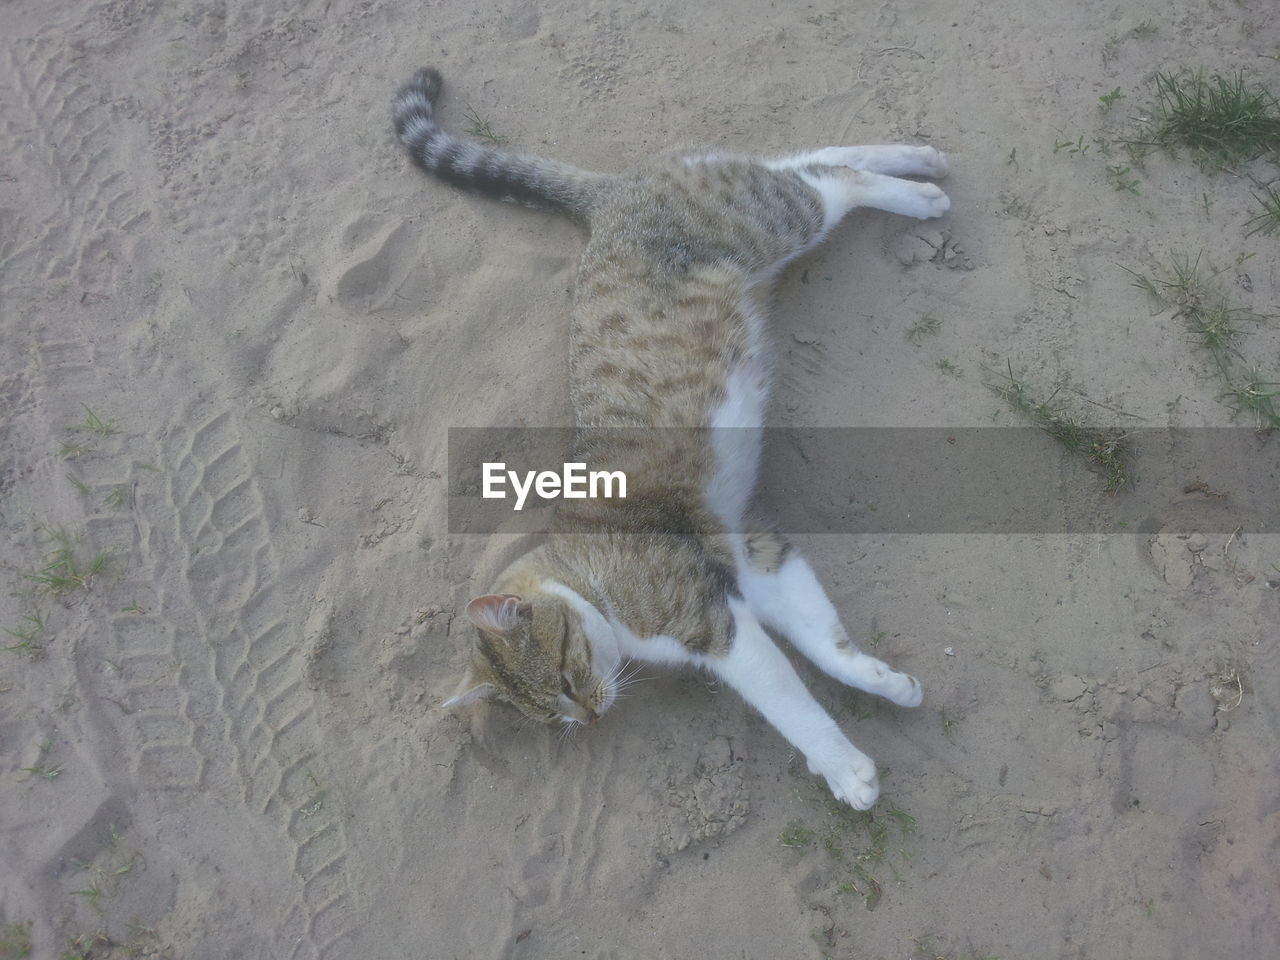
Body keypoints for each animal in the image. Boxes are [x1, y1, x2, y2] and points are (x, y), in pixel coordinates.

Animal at [391, 65, 952, 814]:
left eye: (563, 679)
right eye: (551, 716)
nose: (591, 716)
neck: (586, 577)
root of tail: (610, 195)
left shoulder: (712, 623)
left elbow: (787, 702)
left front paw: (844, 769)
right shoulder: (749, 559)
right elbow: (826, 641)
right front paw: (884, 682)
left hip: (771, 220)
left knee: (834, 178)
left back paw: (916, 193)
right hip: (748, 195)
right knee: (808, 159)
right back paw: (918, 157)